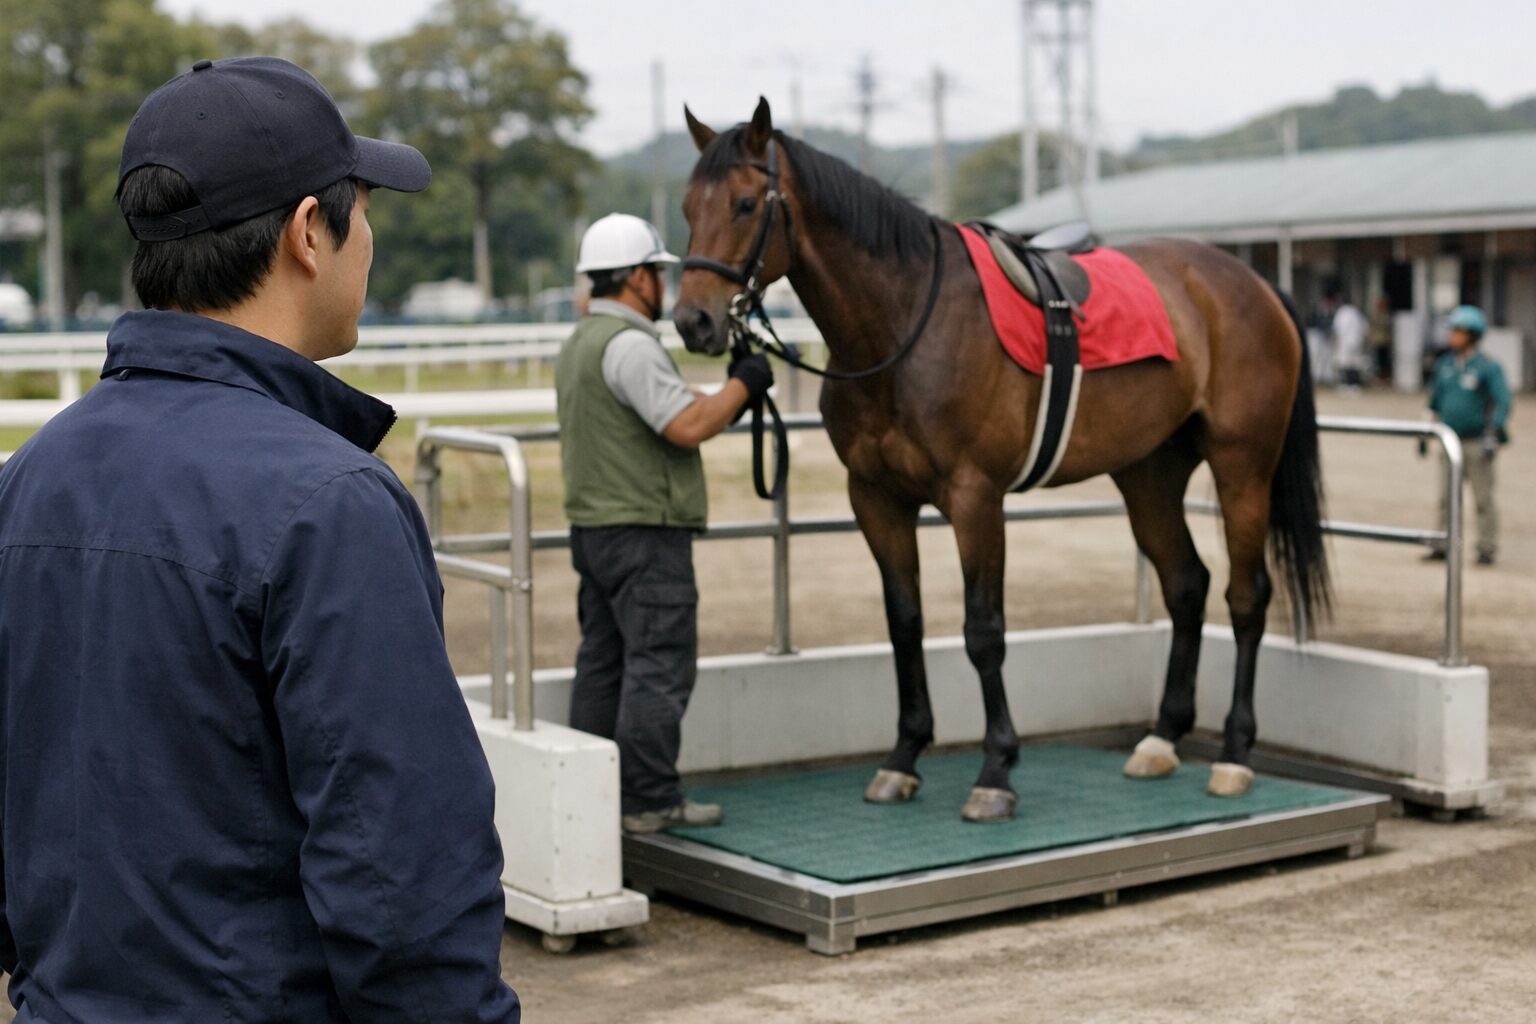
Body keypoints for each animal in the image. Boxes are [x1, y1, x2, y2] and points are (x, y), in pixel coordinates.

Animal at [672, 98, 1329, 822]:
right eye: (686, 206)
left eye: (744, 203)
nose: (693, 322)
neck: (905, 325)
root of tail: (1253, 283)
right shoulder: (874, 498)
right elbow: (905, 622)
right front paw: (903, 757)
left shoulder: (975, 497)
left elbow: (982, 630)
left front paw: (995, 771)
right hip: (1149, 476)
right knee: (1187, 585)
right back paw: (1160, 739)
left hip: (1244, 468)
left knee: (1246, 596)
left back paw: (1235, 754)